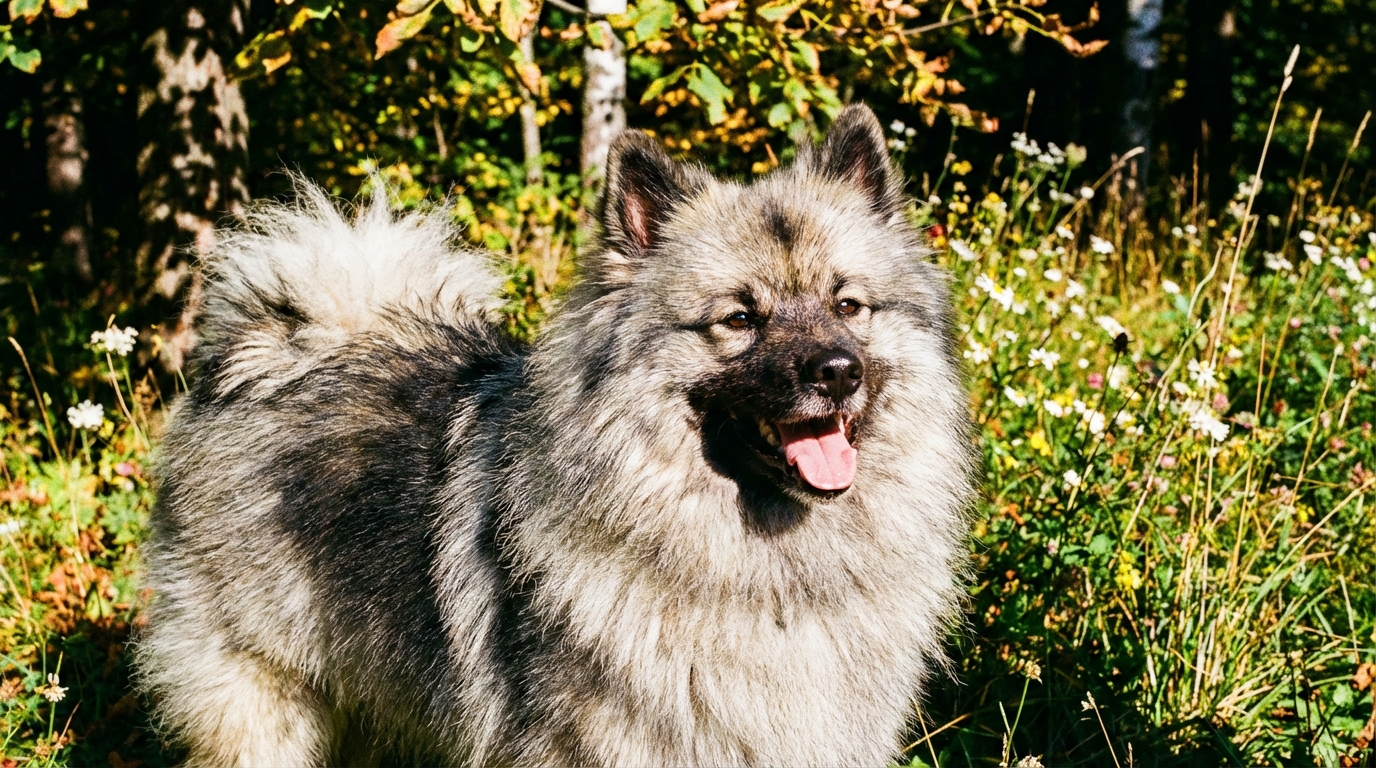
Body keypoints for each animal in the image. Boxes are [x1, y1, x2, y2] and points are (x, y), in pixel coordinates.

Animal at [135, 103, 975, 767]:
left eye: (849, 305)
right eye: (739, 318)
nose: (837, 371)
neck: (766, 574)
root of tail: (288, 349)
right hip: (266, 701)